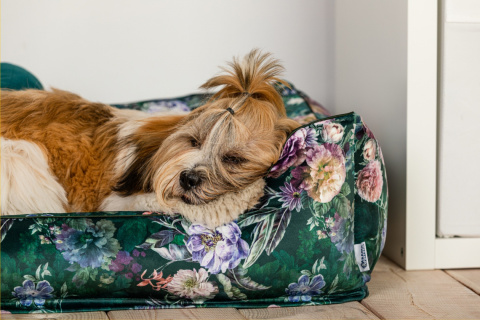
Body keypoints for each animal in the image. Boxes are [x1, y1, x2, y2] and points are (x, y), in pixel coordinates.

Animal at [0, 49, 300, 228]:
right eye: (194, 142)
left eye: (233, 159)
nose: (188, 178)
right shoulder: (118, 201)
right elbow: (163, 201)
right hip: (20, 161)